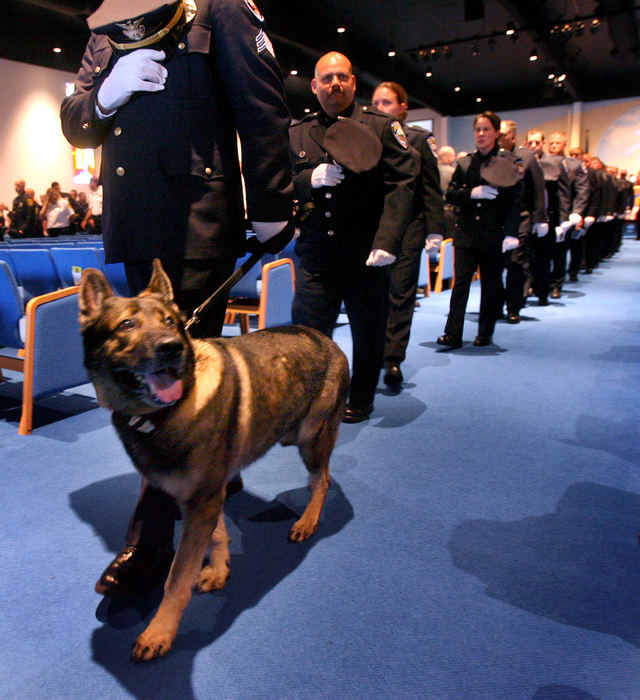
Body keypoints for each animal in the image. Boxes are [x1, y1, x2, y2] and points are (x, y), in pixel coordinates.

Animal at [81, 258, 350, 660]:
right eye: (126, 325)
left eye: (170, 321)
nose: (172, 347)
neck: (167, 411)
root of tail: (327, 340)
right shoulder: (205, 499)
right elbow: (218, 535)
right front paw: (219, 570)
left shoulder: (201, 502)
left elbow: (176, 579)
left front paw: (160, 631)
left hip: (310, 438)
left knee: (323, 480)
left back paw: (308, 521)